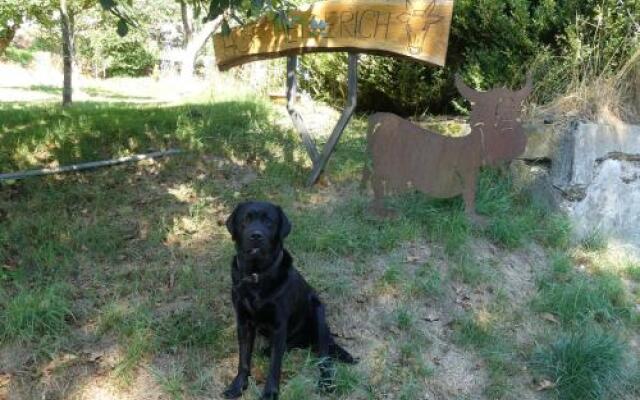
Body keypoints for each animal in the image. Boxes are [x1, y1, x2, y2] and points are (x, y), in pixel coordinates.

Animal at [224, 202, 356, 398]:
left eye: (269, 221)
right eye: (245, 220)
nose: (256, 235)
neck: (257, 276)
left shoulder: (279, 325)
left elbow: (275, 365)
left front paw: (270, 393)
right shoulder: (243, 322)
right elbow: (244, 358)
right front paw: (238, 385)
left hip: (319, 313)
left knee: (324, 357)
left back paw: (326, 382)